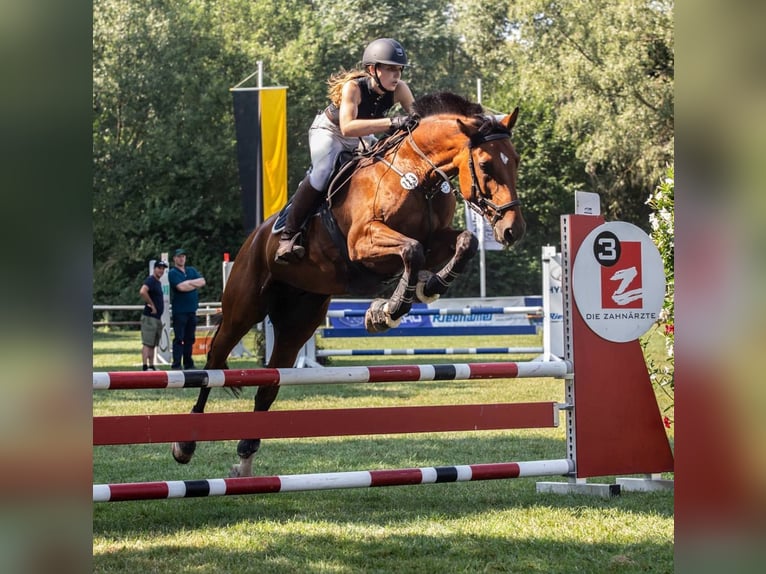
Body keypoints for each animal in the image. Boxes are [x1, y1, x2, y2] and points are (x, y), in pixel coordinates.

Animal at [172, 91, 526, 477]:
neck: (418, 175)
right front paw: (388, 311)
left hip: (298, 321)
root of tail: (256, 236)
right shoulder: (363, 243)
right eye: (486, 165)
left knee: (269, 383)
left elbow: (464, 243)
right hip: (243, 307)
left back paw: (245, 457)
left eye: (516, 161)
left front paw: (427, 287)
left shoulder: (435, 240)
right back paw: (185, 445)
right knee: (212, 363)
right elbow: (411, 251)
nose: (512, 230)